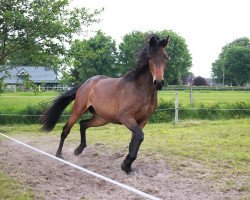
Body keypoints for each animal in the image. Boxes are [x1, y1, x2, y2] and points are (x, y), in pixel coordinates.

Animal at [41, 33, 170, 173]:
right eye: (150, 57)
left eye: (165, 57)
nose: (158, 83)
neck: (140, 90)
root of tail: (85, 83)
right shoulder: (125, 117)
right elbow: (139, 136)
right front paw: (126, 164)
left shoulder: (142, 121)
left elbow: (135, 140)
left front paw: (128, 167)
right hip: (78, 110)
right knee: (66, 129)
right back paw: (59, 155)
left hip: (101, 118)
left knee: (83, 124)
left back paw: (78, 149)